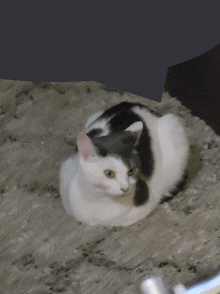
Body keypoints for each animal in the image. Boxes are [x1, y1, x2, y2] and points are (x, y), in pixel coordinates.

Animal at [58, 102, 189, 226]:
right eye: (109, 173)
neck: (99, 201)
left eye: (131, 171)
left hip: (174, 128)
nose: (125, 188)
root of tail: (138, 106)